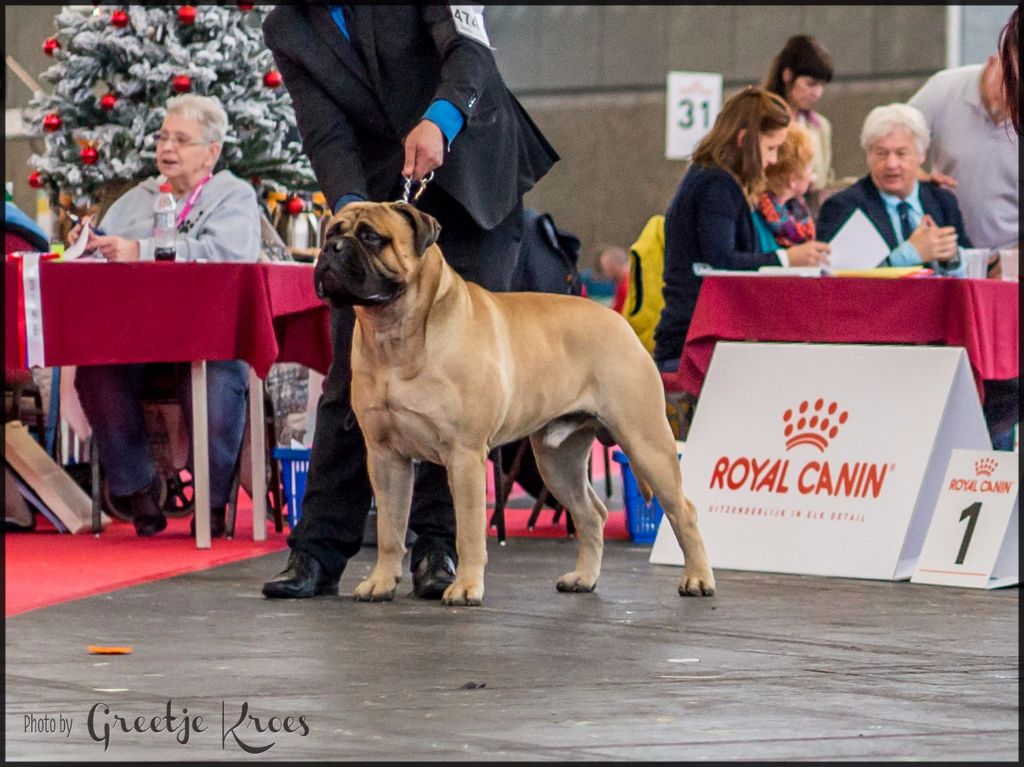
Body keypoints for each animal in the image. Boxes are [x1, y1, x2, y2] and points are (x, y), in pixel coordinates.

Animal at [311, 201, 712, 606]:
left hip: (646, 444)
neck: (395, 333)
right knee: (591, 514)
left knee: (684, 512)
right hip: (559, 462)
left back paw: (697, 579)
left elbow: (469, 531)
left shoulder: (464, 455)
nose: (331, 249)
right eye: (333, 232)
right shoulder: (385, 456)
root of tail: (618, 321)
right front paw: (380, 582)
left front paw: (466, 587)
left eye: (371, 237)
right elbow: (389, 530)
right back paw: (583, 578)